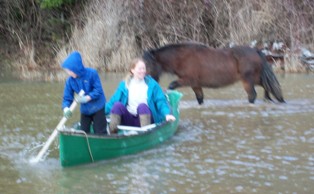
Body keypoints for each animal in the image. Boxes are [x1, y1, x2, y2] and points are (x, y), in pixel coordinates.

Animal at [142, 42, 284, 104]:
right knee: (267, 86)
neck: (183, 58)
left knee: (252, 95)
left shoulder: (188, 80)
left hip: (248, 81)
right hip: (256, 78)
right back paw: (269, 99)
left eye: (148, 64)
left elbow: (171, 85)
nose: (146, 79)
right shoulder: (196, 84)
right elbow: (200, 98)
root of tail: (256, 51)